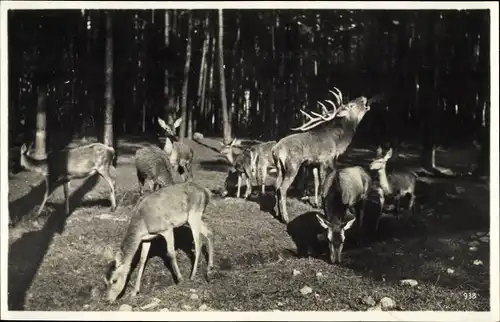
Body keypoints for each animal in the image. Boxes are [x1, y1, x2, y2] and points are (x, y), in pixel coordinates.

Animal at [272, 88, 374, 224]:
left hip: (279, 168)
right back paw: (285, 218)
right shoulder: (327, 159)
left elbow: (316, 182)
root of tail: (275, 150)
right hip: (292, 165)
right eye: (351, 105)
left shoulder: (314, 163)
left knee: (276, 185)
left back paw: (277, 213)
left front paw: (315, 203)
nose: (363, 97)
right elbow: (323, 181)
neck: (338, 142)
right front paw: (321, 204)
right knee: (282, 188)